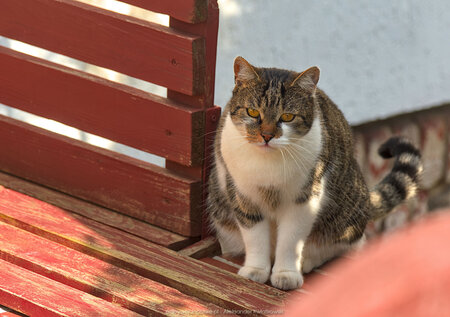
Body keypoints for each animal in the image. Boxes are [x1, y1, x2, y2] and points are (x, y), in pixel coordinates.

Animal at [206, 56, 424, 288]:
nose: (266, 136)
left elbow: (290, 240)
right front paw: (255, 269)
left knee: (348, 244)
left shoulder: (305, 199)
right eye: (253, 112)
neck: (269, 164)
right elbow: (255, 238)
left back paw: (309, 260)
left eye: (287, 116)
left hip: (345, 216)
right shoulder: (243, 195)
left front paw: (286, 274)